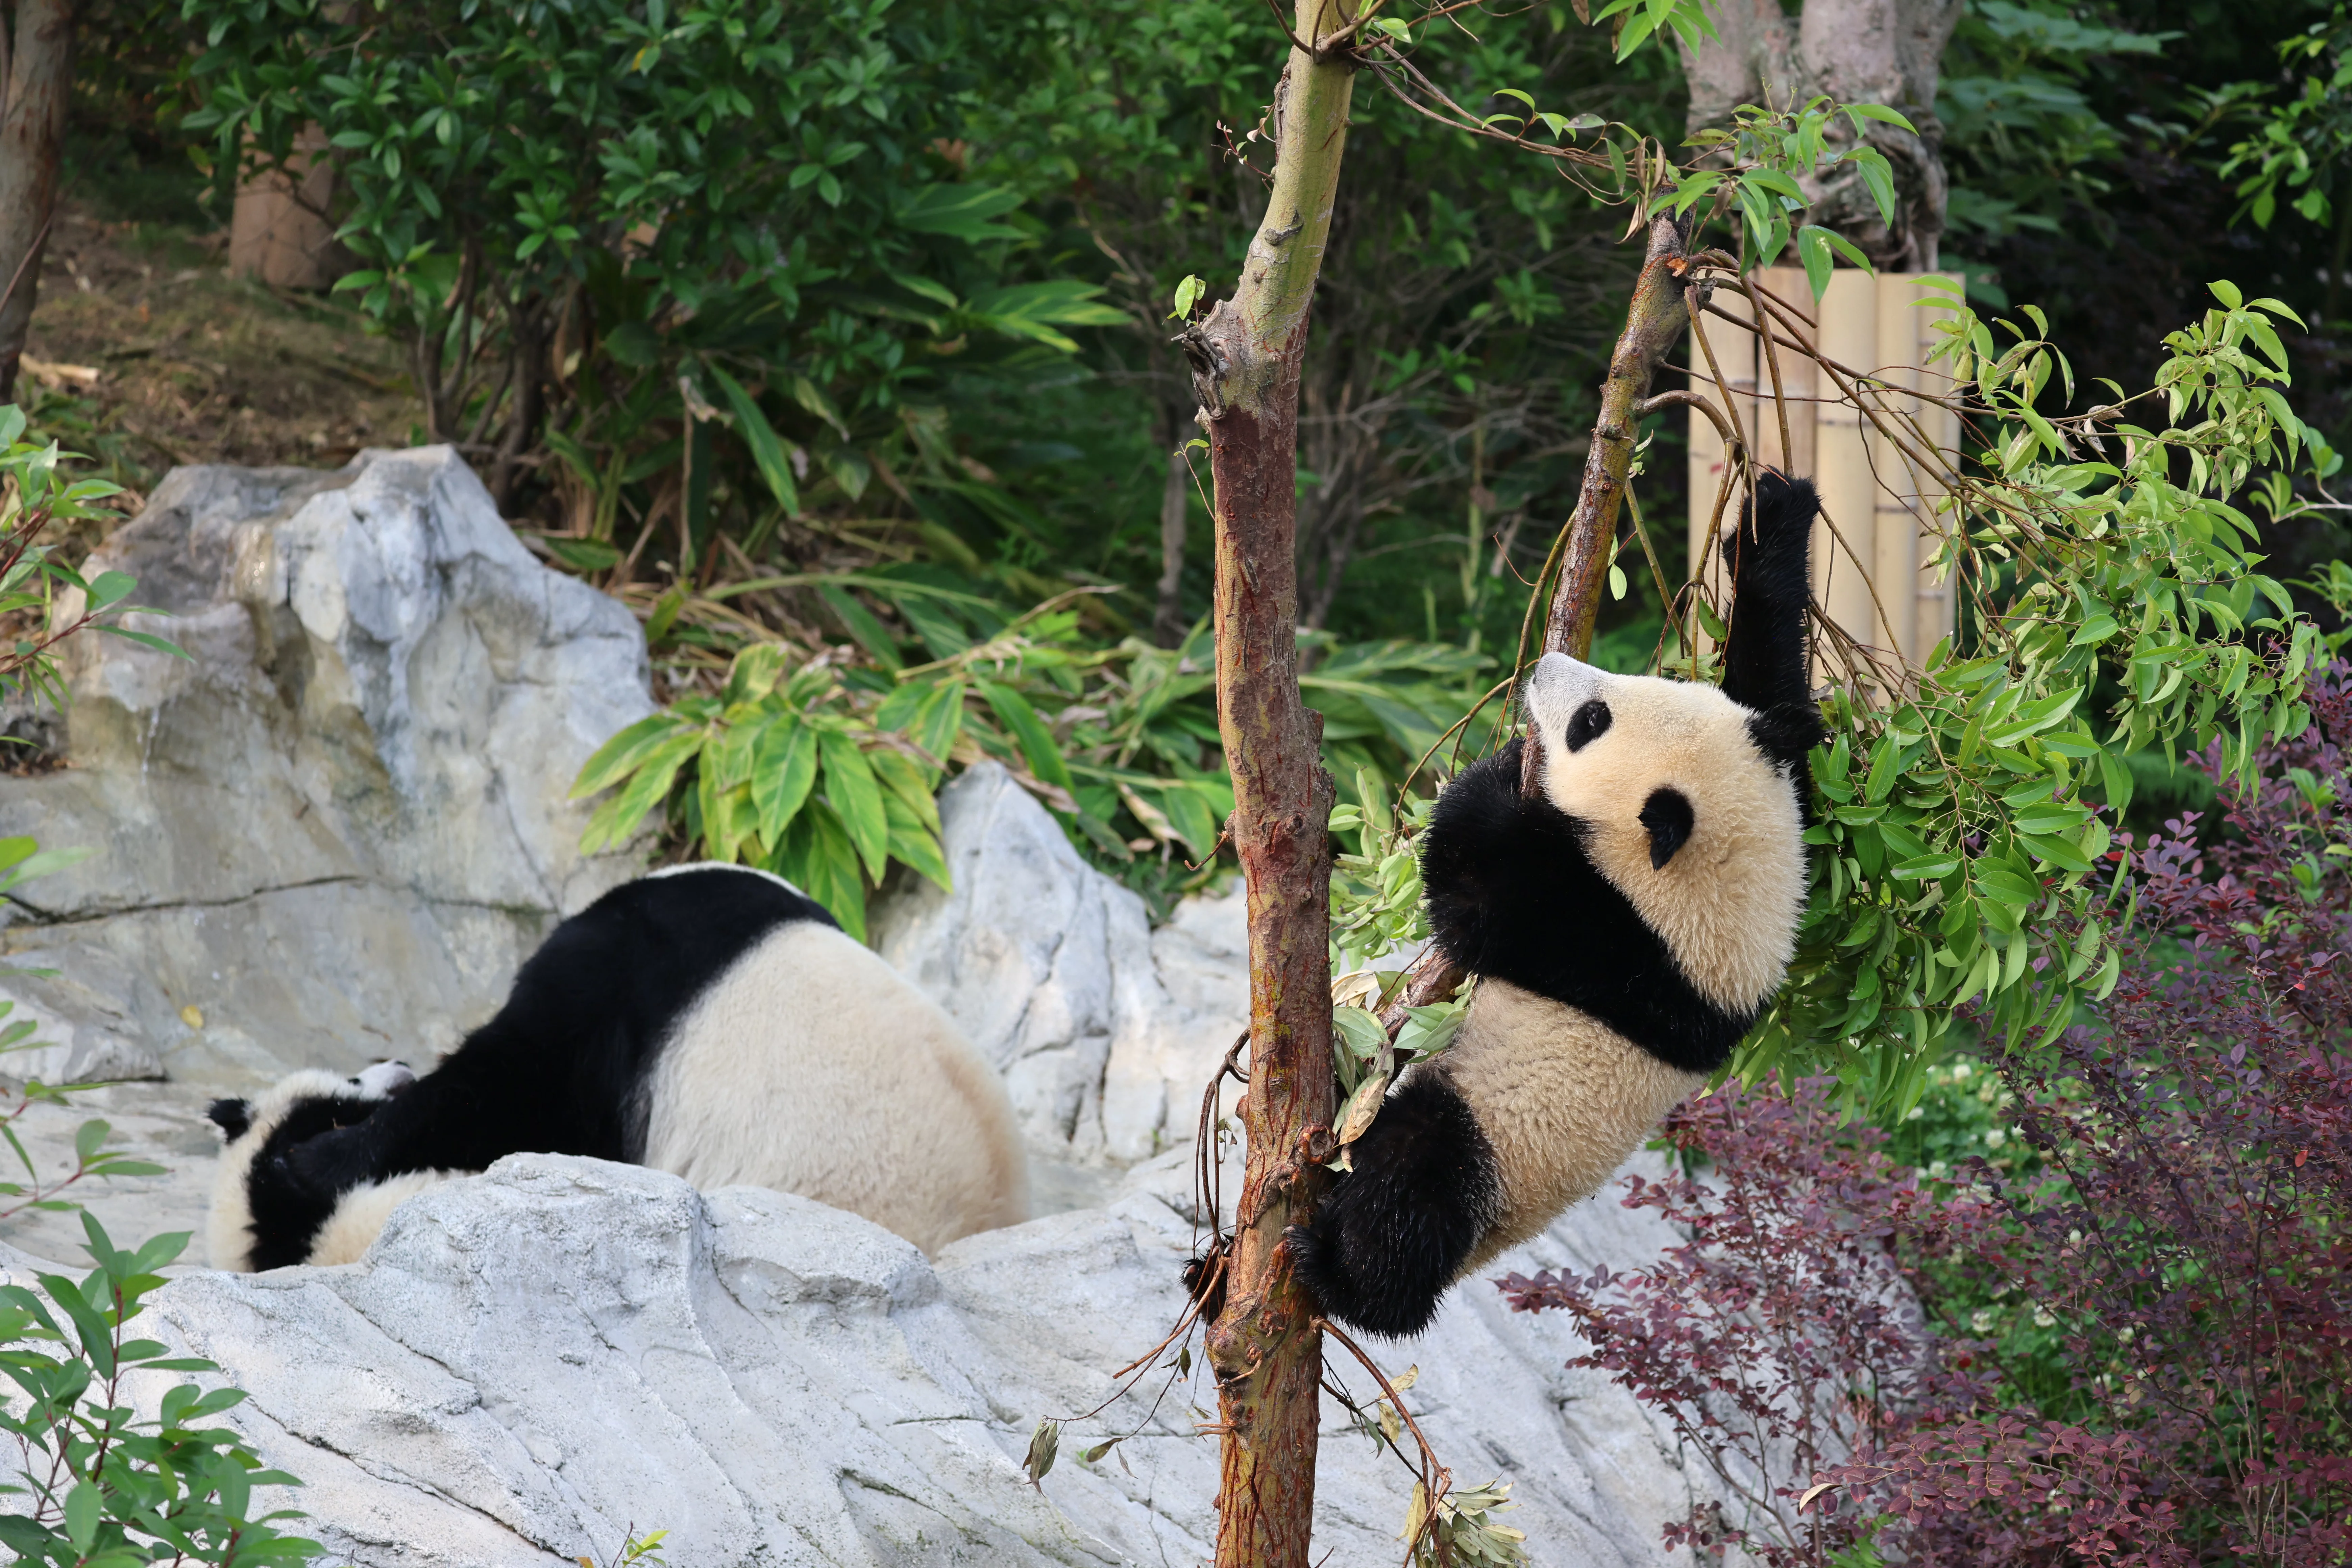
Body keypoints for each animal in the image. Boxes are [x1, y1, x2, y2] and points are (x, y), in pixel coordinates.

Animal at [1290, 471, 1826, 1338]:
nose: (1542, 664)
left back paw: (1344, 1278)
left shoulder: (1619, 940)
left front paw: (1501, 780)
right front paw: (1775, 516)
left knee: (1415, 1185)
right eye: (1650, 684)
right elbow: (1773, 687)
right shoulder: (1785, 812)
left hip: (1497, 1139)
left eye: (1591, 721)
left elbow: (1482, 898)